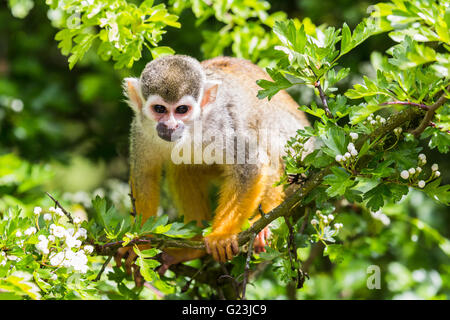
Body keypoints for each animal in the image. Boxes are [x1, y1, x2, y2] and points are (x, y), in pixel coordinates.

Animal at [117, 54, 310, 278]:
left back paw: (268, 218)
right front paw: (141, 242)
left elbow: (251, 165)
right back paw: (192, 247)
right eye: (159, 109)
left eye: (182, 110)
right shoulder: (140, 129)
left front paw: (221, 236)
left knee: (268, 135)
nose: (170, 126)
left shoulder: (222, 125)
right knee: (184, 168)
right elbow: (145, 174)